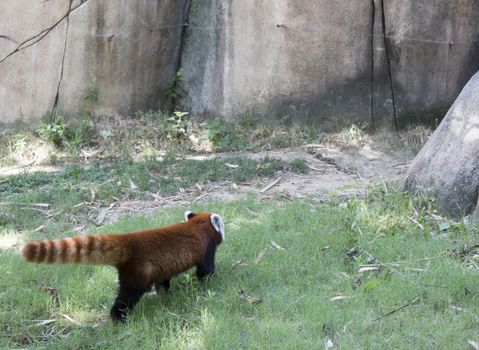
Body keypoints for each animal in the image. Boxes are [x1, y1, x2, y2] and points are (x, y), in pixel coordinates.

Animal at [22, 211, 225, 322]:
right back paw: (118, 318)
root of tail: (129, 240)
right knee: (127, 297)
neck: (198, 224)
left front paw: (164, 295)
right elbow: (205, 270)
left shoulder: (164, 267)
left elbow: (163, 280)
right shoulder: (206, 247)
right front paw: (210, 283)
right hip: (137, 274)